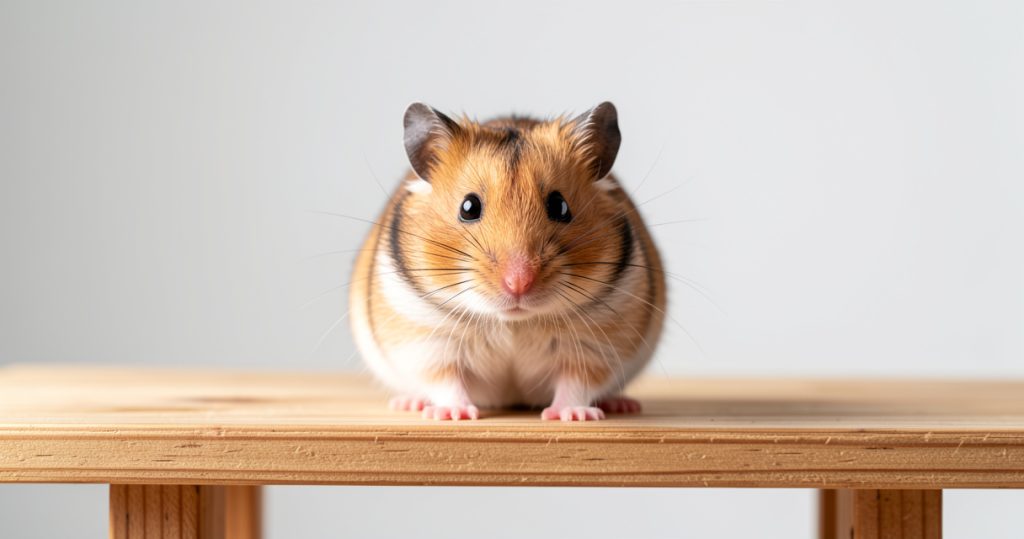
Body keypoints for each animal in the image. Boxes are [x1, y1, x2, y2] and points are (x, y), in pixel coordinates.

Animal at [348, 102, 666, 421]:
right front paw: (453, 414)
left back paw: (622, 404)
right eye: (468, 207)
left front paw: (572, 415)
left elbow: (576, 383)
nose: (518, 284)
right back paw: (410, 403)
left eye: (560, 206)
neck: (513, 322)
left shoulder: (595, 347)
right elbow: (446, 381)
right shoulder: (426, 343)